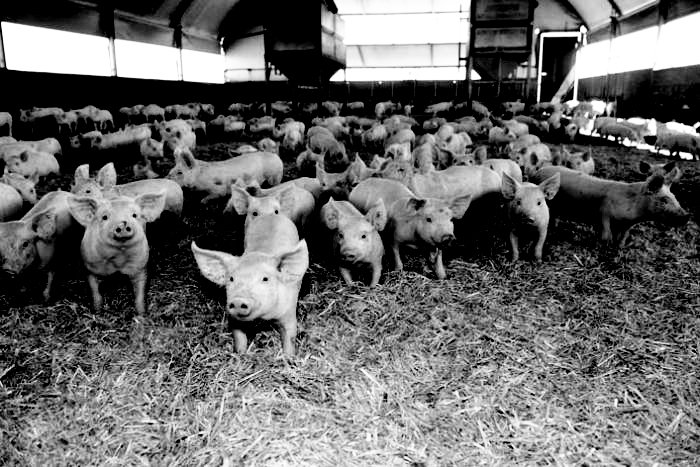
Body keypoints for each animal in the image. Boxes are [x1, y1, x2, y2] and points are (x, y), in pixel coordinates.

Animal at [532, 165, 688, 249]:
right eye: (664, 199)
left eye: (675, 196)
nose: (687, 215)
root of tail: (539, 170)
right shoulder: (604, 213)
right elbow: (606, 234)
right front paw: (604, 246)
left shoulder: (627, 225)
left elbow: (623, 237)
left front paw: (619, 248)